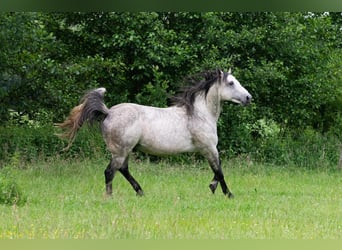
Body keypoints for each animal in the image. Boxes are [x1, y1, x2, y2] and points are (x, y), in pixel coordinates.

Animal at [56, 69, 251, 198]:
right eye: (231, 83)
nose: (249, 98)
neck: (199, 114)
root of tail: (108, 112)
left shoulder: (208, 149)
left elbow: (218, 170)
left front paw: (213, 187)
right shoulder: (209, 148)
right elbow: (219, 170)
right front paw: (227, 193)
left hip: (124, 151)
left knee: (123, 170)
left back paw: (140, 192)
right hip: (120, 151)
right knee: (110, 172)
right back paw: (110, 196)